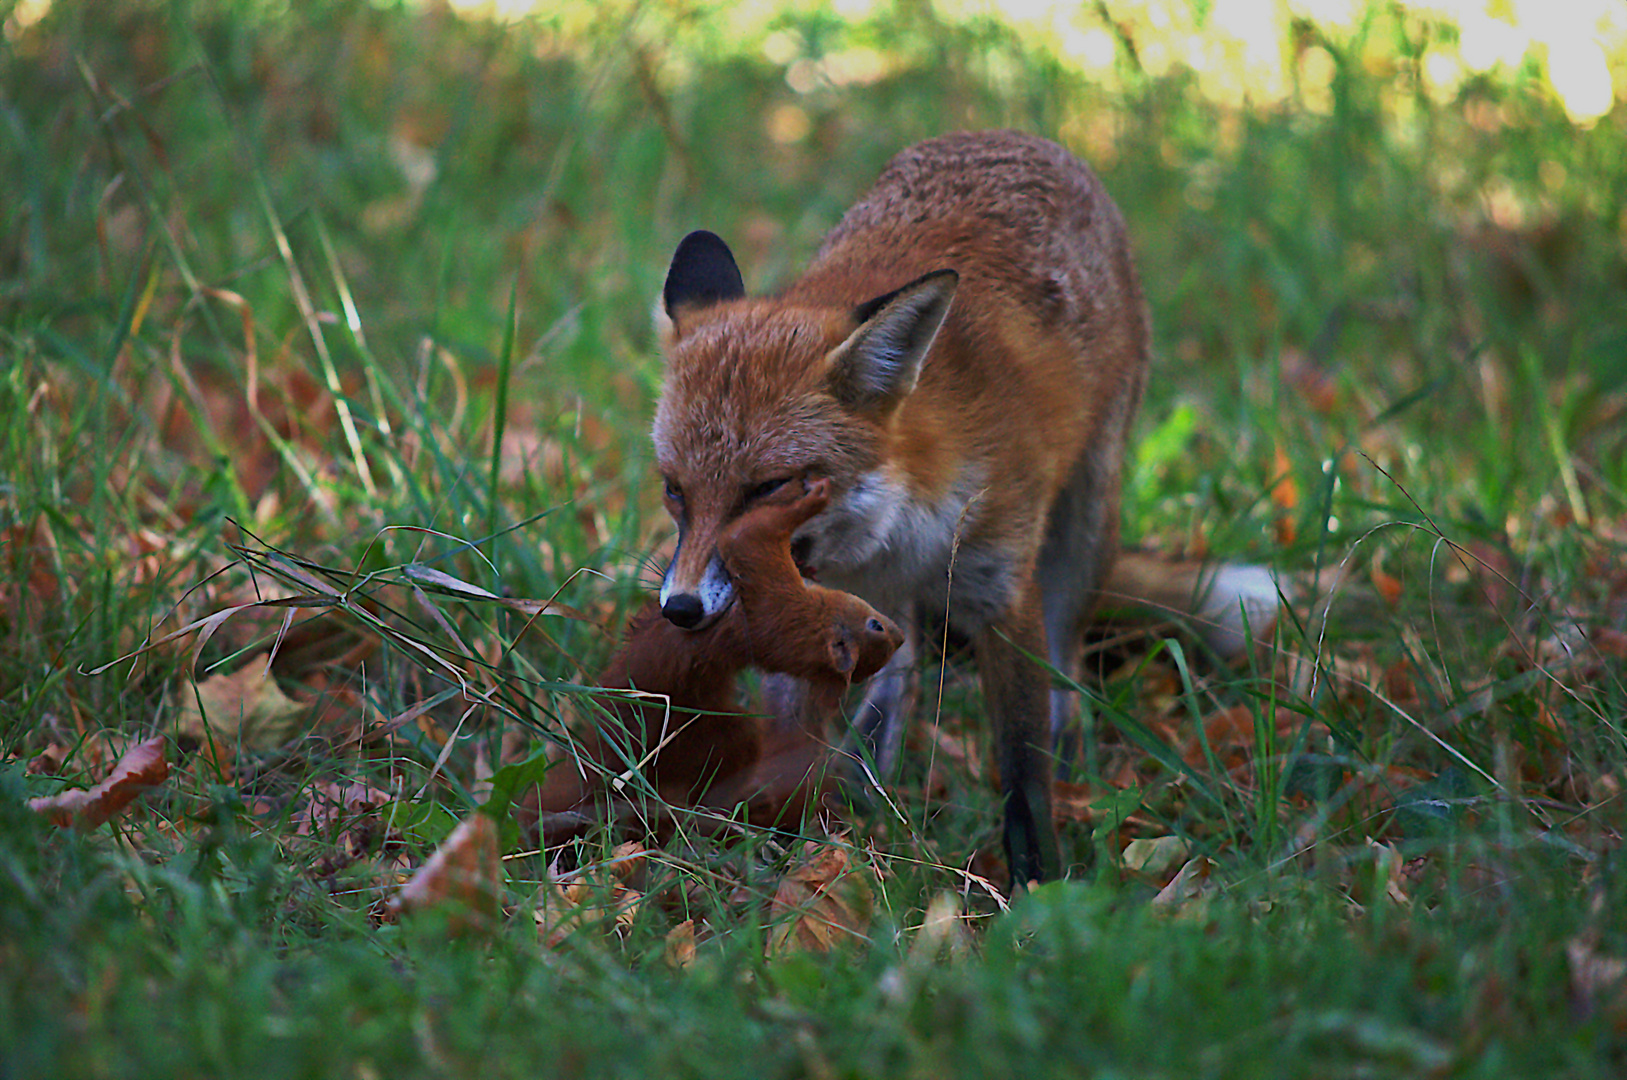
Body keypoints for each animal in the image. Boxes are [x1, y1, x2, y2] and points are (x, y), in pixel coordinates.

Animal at [523, 478, 898, 839]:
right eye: (877, 625)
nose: (900, 635)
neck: (804, 622)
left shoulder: (770, 597)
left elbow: (747, 536)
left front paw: (811, 497)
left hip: (719, 732)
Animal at [654, 130, 1275, 884]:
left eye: (769, 487)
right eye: (674, 489)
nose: (680, 608)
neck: (896, 527)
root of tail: (1014, 138)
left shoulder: (1002, 588)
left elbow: (1022, 772)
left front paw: (1039, 883)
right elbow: (794, 735)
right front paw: (784, 852)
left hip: (1084, 527)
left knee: (1066, 669)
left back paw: (1068, 760)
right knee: (900, 678)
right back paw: (866, 779)